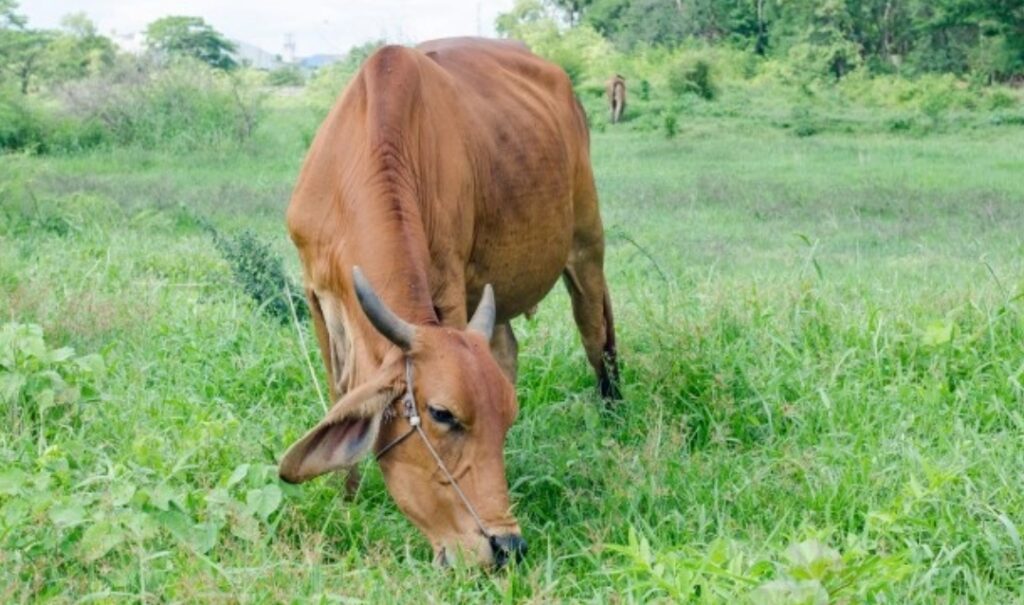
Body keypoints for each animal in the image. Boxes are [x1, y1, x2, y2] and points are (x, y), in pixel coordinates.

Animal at [278, 37, 620, 568]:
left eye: (506, 419)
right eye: (442, 415)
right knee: (509, 348)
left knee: (596, 335)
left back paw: (612, 416)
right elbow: (341, 394)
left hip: (586, 245)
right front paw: (347, 501)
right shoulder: (317, 295)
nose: (507, 546)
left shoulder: (451, 286)